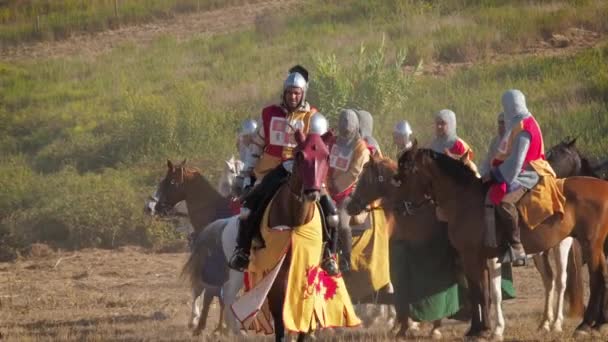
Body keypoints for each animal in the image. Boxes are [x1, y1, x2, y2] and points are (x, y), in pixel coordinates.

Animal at [394, 143, 608, 338]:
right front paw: (484, 329)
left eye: (406, 171)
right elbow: (486, 293)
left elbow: (480, 292)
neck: (465, 200)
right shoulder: (483, 258)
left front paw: (483, 331)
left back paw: (582, 325)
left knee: (593, 278)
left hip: (585, 245)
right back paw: (593, 324)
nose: (400, 207)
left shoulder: (472, 257)